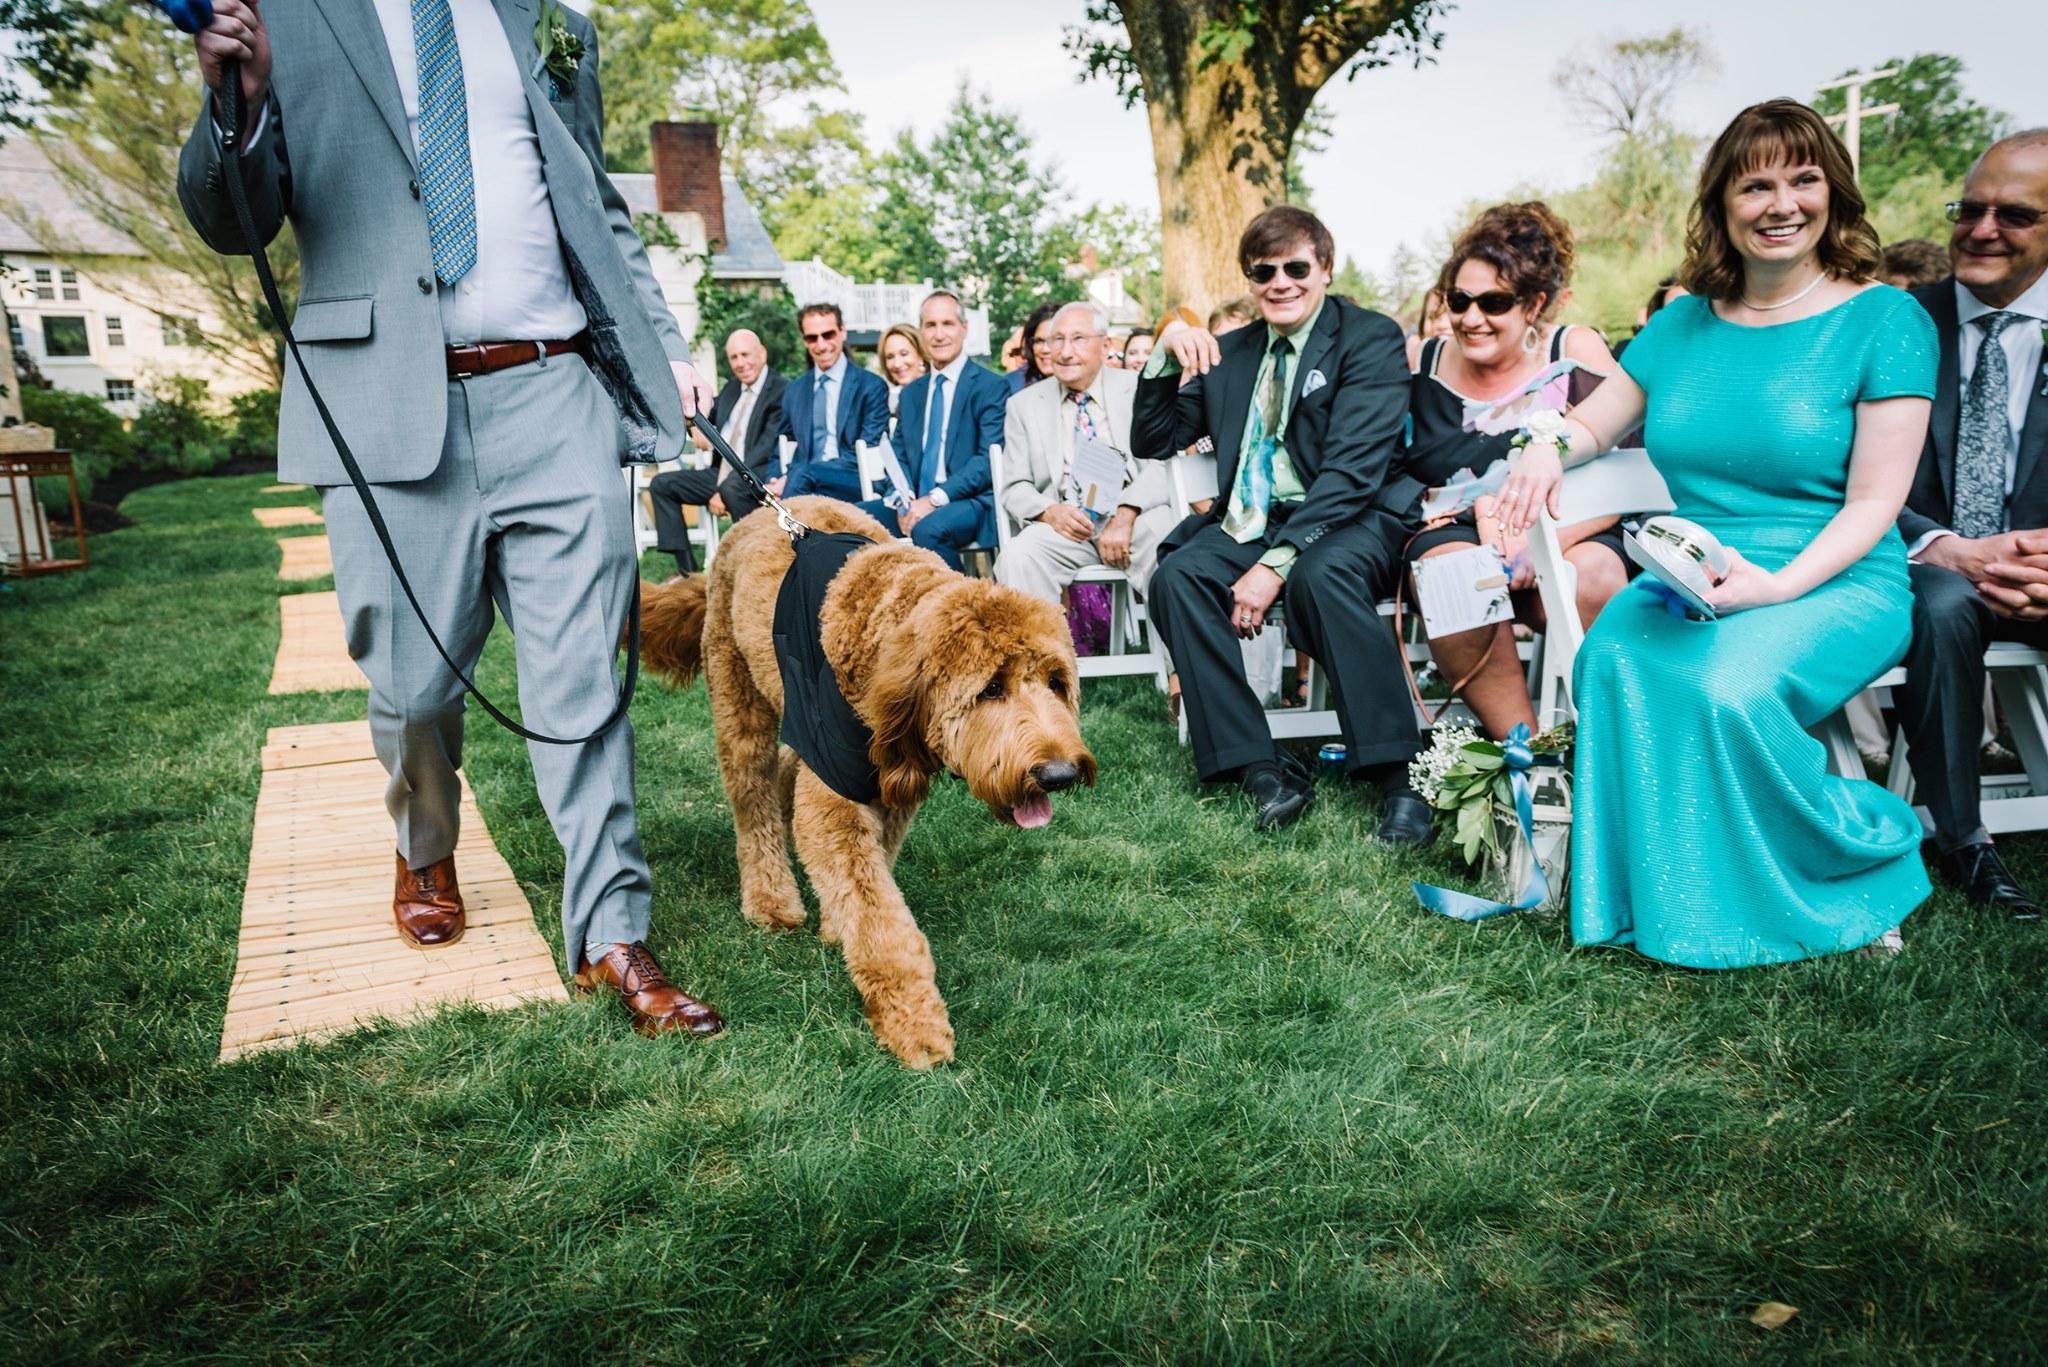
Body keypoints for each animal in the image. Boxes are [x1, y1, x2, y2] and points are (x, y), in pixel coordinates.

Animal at [640, 497, 1096, 1068]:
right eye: (991, 688)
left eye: (1057, 682)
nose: (1058, 774)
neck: (885, 633)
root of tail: (753, 516)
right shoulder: (836, 798)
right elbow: (880, 920)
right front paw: (915, 1024)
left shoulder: (888, 789)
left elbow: (870, 874)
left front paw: (839, 929)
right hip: (739, 701)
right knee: (753, 802)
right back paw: (770, 899)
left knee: (788, 775)